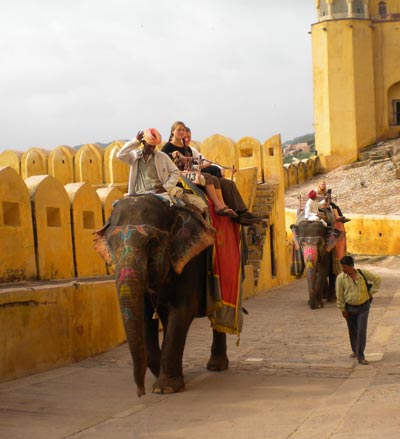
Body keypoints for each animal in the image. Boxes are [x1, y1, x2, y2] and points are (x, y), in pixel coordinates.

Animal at [94, 196, 231, 398]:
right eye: (111, 243)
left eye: (152, 242)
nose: (140, 392)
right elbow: (144, 316)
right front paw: (166, 380)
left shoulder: (189, 261)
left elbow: (182, 310)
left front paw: (164, 388)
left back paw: (216, 366)